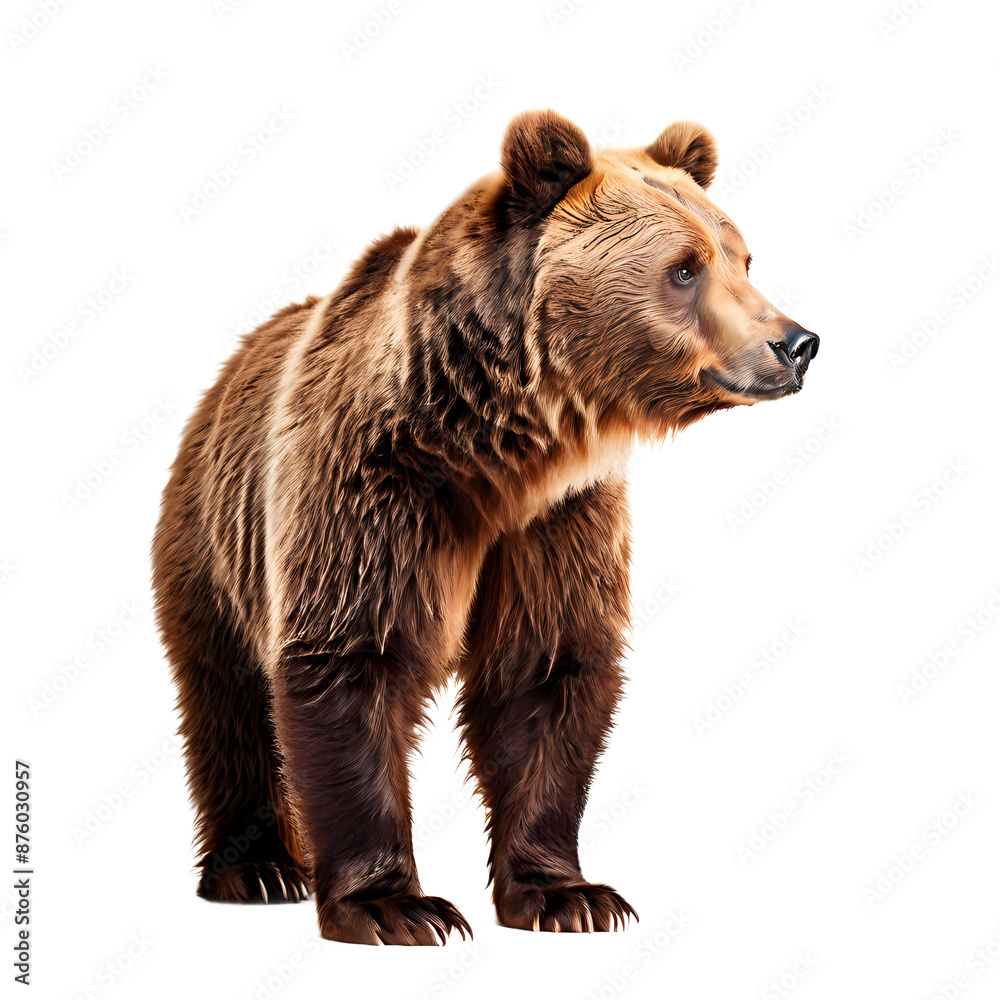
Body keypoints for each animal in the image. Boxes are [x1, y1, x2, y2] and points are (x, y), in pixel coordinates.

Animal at [152, 110, 818, 945]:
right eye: (685, 268)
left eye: (743, 255)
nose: (796, 342)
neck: (492, 452)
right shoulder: (370, 493)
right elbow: (351, 660)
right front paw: (394, 905)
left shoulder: (555, 521)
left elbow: (545, 673)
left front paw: (568, 895)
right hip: (215, 534)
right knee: (228, 697)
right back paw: (260, 868)